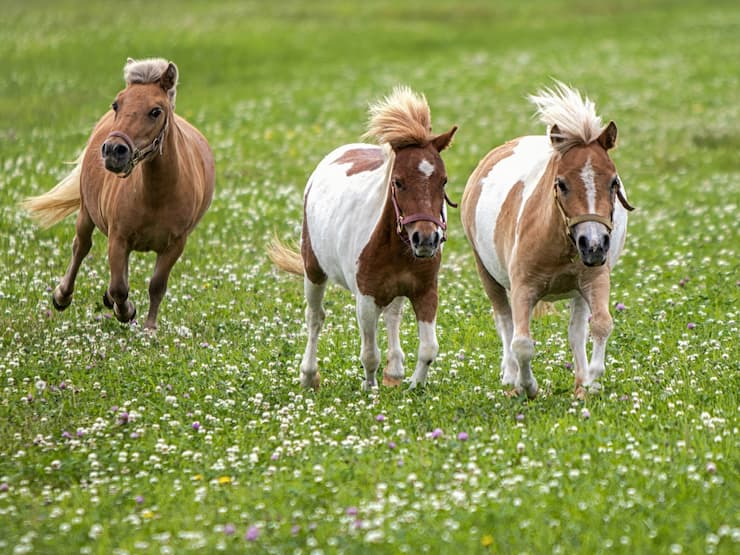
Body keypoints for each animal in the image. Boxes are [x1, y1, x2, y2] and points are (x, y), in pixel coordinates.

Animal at [22, 58, 214, 330]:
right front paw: (126, 311)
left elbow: (156, 286)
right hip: (86, 214)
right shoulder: (118, 238)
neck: (157, 195)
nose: (114, 150)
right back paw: (62, 296)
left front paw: (149, 328)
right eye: (117, 104)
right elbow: (119, 287)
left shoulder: (175, 245)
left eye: (156, 111)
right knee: (81, 247)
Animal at [270, 86, 456, 390]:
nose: (426, 239)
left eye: (444, 181)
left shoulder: (425, 292)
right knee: (315, 318)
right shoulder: (366, 299)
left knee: (393, 316)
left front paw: (414, 386)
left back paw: (395, 372)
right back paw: (309, 376)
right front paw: (371, 389)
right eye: (398, 182)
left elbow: (429, 348)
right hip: (314, 271)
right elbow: (369, 354)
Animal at [460, 82, 632, 400]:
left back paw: (580, 382)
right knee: (504, 322)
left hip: (579, 289)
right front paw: (526, 386)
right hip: (487, 274)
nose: (593, 245)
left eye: (614, 182)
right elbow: (521, 343)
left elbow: (601, 325)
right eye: (561, 183)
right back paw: (510, 377)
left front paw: (590, 381)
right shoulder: (522, 288)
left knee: (576, 331)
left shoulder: (596, 279)